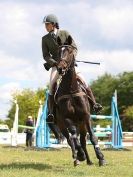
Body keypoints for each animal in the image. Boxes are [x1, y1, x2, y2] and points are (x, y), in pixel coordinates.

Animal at [53, 35, 106, 167]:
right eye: (58, 52)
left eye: (70, 51)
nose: (60, 68)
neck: (71, 90)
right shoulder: (67, 119)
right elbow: (73, 137)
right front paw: (80, 155)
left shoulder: (86, 116)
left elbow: (92, 137)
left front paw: (101, 157)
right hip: (62, 125)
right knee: (70, 139)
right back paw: (77, 159)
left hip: (81, 124)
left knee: (82, 140)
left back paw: (89, 160)